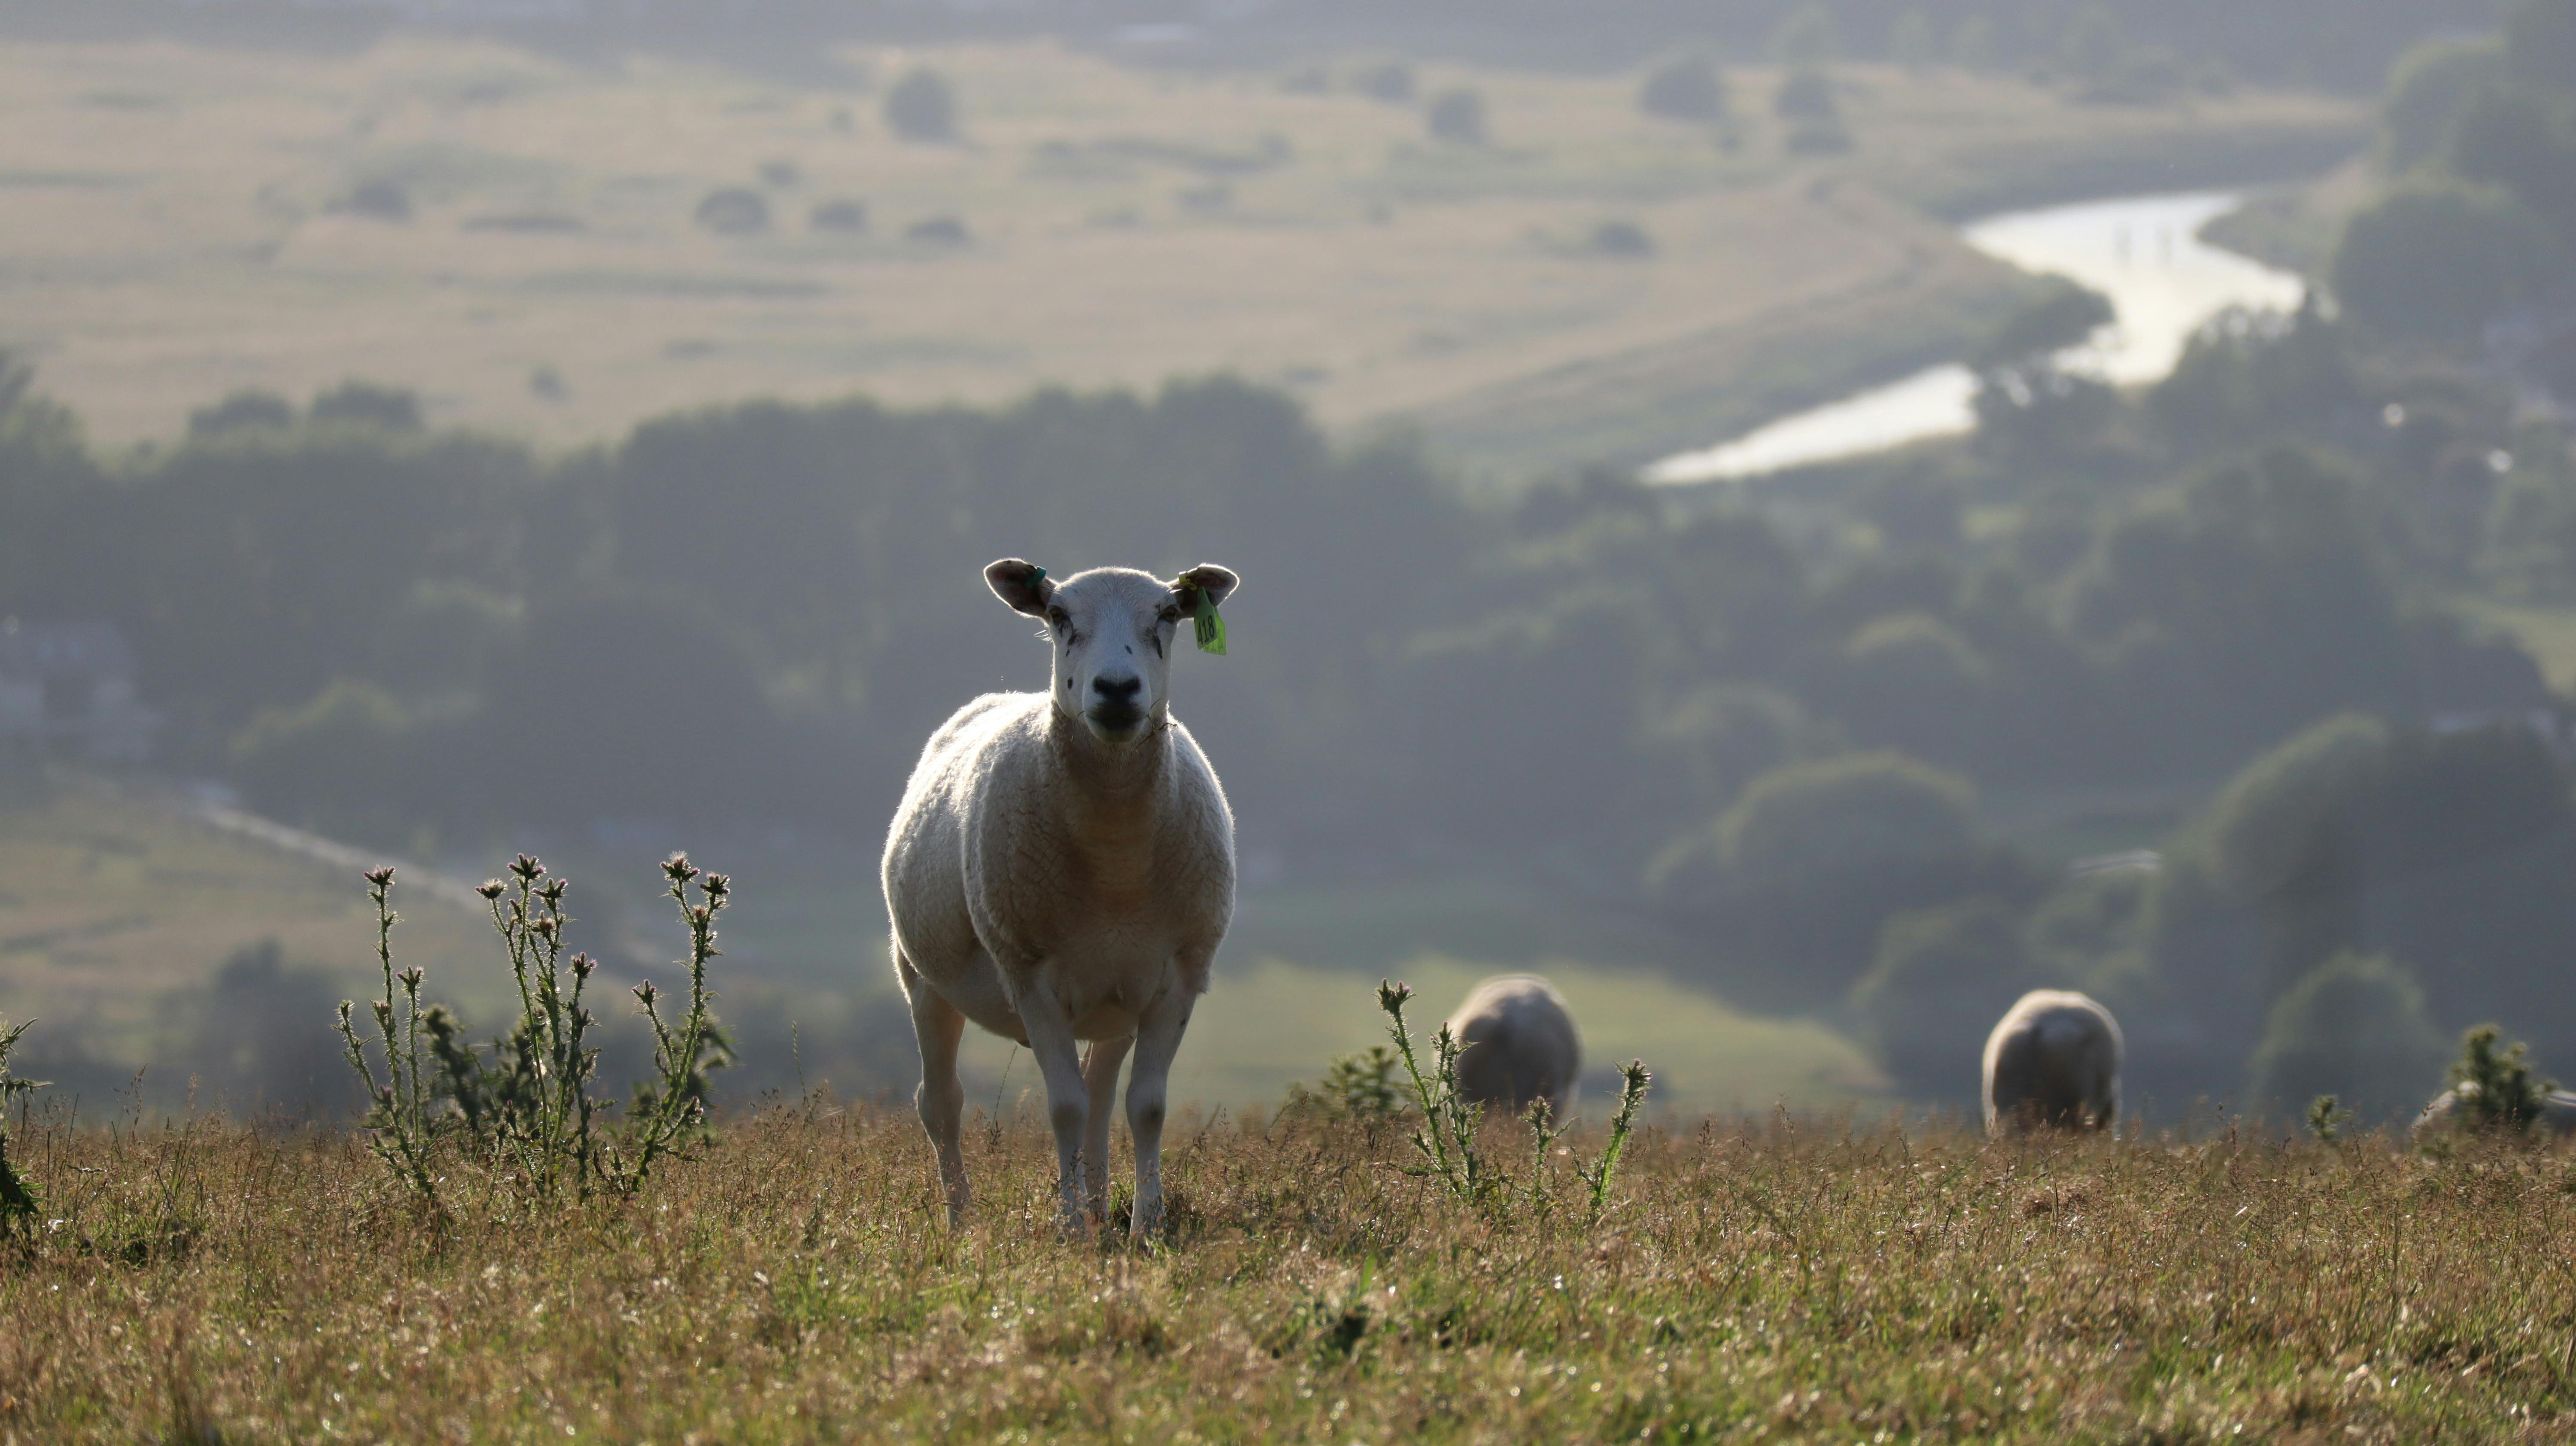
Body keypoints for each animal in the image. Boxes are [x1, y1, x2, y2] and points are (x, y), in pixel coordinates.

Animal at [882, 558, 1239, 1237]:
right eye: (1057, 615)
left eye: (1168, 614)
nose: (1118, 689)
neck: (1115, 865)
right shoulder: (1031, 977)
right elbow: (1065, 1107)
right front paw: (1069, 1229)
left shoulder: (1178, 978)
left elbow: (1145, 1107)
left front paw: (1146, 1227)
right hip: (921, 977)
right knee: (941, 1105)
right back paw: (964, 1221)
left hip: (1114, 998)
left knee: (1101, 1095)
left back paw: (1101, 1208)